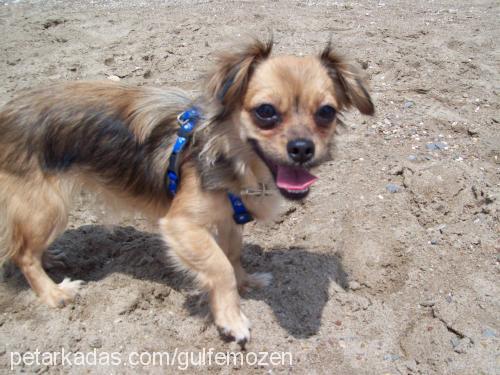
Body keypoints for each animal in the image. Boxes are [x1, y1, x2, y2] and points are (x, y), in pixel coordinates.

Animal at [0, 39, 376, 346]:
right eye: (266, 112)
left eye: (326, 112)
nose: (302, 148)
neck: (235, 158)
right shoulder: (181, 225)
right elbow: (220, 267)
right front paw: (231, 319)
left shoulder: (229, 218)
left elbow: (233, 255)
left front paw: (247, 281)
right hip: (48, 206)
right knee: (23, 254)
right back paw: (52, 292)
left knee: (27, 246)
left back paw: (52, 258)